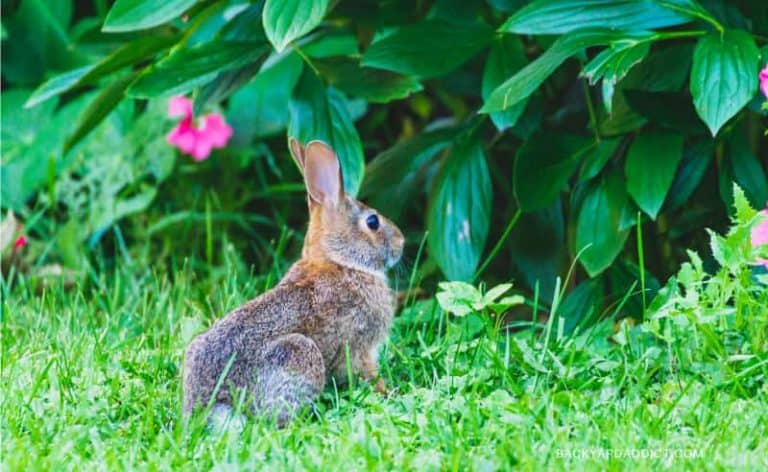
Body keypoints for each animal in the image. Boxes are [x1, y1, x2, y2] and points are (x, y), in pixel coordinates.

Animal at [183, 137, 404, 428]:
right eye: (373, 221)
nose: (402, 242)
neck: (340, 261)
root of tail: (213, 407)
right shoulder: (361, 347)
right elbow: (367, 373)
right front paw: (387, 392)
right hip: (299, 353)